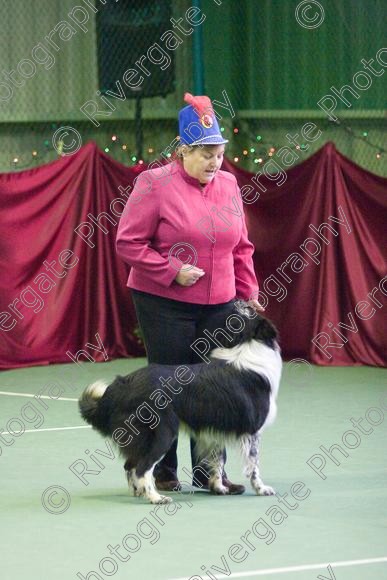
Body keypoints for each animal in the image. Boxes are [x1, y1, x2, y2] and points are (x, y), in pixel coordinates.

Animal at [79, 308, 282, 502]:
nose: (241, 301)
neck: (247, 344)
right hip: (163, 433)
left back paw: (140, 492)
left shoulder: (215, 428)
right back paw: (156, 498)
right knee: (143, 467)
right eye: (250, 311)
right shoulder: (253, 431)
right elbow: (254, 464)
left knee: (130, 465)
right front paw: (261, 489)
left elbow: (217, 460)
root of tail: (122, 384)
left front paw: (219, 488)